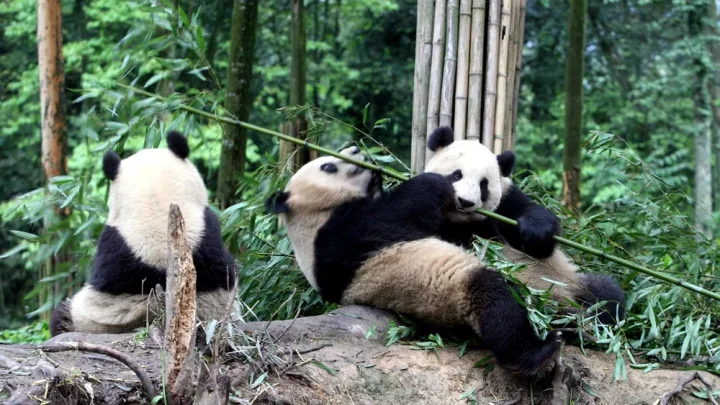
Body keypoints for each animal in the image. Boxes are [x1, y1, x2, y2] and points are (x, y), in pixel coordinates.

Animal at [265, 146, 563, 378]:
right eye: (328, 166)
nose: (356, 149)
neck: (311, 213)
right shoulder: (342, 235)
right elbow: (404, 210)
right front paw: (434, 181)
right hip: (449, 296)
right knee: (494, 301)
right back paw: (541, 353)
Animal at [424, 126, 625, 325]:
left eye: (483, 185)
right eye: (457, 174)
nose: (465, 202)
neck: (461, 220)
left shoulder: (507, 199)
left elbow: (536, 232)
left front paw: (533, 232)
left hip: (572, 281)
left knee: (607, 293)